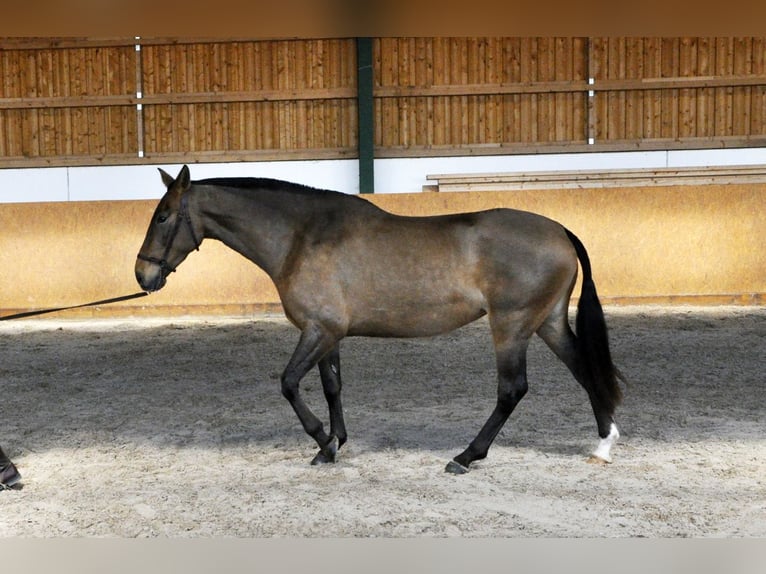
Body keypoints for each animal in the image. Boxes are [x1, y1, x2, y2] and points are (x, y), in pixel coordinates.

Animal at [134, 164, 624, 474]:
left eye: (163, 216)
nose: (143, 275)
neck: (302, 237)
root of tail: (559, 230)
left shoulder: (318, 330)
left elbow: (289, 383)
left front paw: (322, 440)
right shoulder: (328, 334)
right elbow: (331, 386)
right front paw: (334, 444)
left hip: (512, 326)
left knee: (512, 390)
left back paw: (465, 457)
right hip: (548, 322)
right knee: (583, 371)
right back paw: (603, 444)